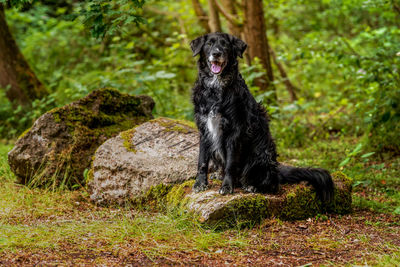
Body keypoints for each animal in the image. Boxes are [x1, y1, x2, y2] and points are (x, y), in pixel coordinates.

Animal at [191, 32, 334, 202]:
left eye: (224, 44)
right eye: (209, 44)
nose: (216, 53)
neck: (215, 89)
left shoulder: (235, 131)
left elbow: (230, 163)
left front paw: (227, 186)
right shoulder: (204, 129)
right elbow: (202, 161)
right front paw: (200, 183)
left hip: (261, 153)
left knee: (272, 184)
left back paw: (252, 185)